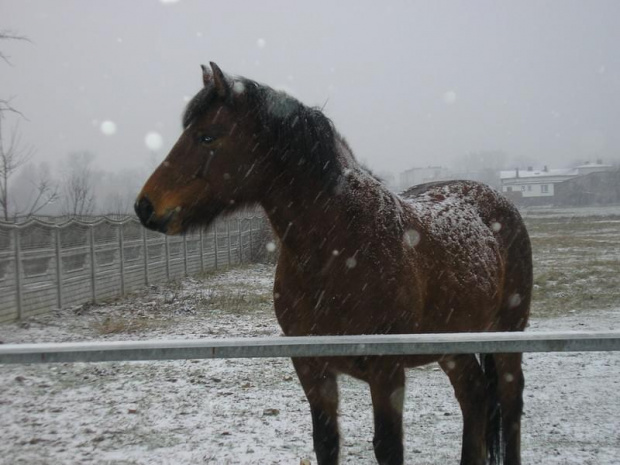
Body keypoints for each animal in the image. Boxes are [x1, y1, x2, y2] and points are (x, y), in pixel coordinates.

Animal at [136, 62, 532, 464]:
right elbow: (326, 441)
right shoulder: (312, 366)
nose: (145, 206)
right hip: (454, 343)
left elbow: (388, 447)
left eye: (207, 137)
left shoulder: (386, 369)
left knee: (510, 402)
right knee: (475, 395)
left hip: (507, 331)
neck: (340, 251)